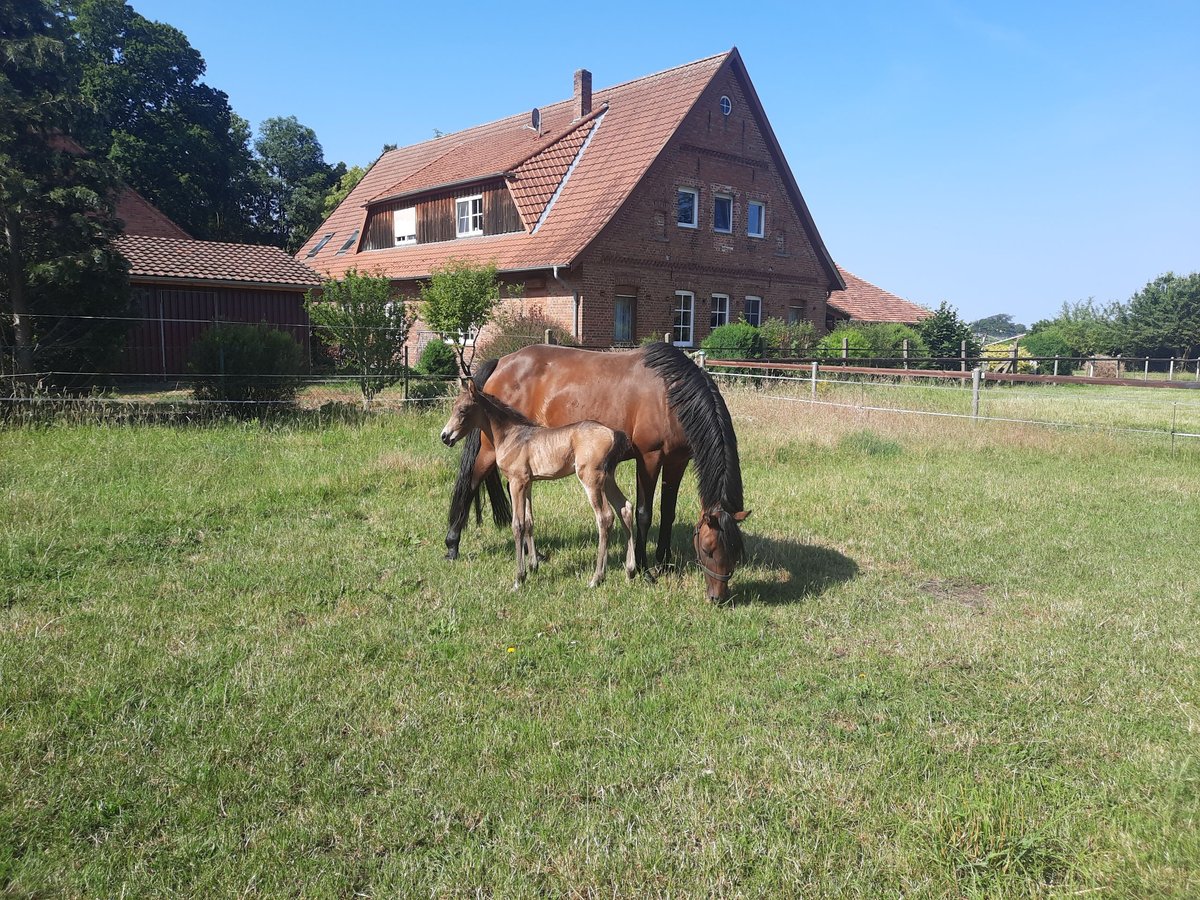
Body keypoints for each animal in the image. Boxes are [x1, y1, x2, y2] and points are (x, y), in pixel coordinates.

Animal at [436, 381, 633, 588]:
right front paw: (533, 566)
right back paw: (630, 570)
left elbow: (518, 525)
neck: (511, 436)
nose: (445, 436)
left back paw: (597, 578)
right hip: (607, 478)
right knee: (625, 508)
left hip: (591, 478)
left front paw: (519, 578)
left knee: (605, 517)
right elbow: (529, 521)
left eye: (463, 410)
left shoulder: (516, 482)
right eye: (453, 407)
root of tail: (612, 433)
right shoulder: (528, 483)